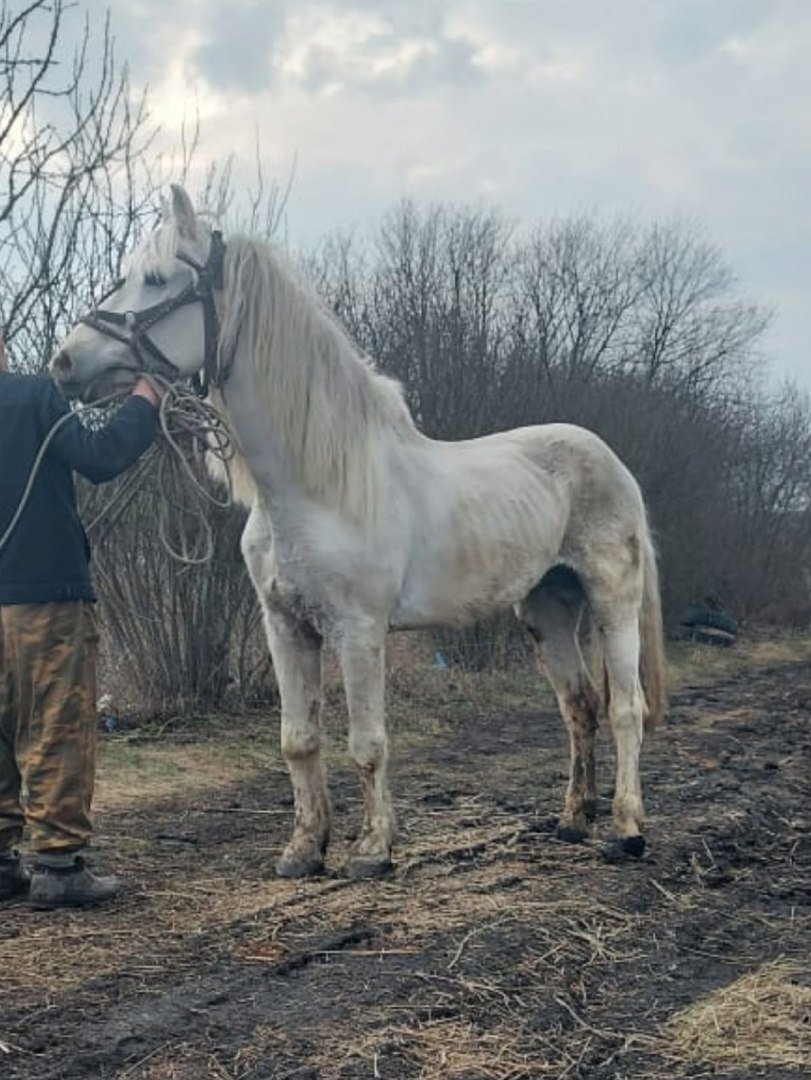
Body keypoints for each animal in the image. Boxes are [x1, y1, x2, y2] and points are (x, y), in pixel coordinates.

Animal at [55, 183, 665, 876]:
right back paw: (571, 821)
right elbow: (298, 740)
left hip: (612, 601)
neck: (312, 490)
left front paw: (373, 848)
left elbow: (367, 742)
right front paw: (303, 849)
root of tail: (610, 462)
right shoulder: (286, 628)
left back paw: (626, 828)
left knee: (625, 709)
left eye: (157, 279)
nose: (65, 362)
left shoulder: (358, 630)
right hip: (548, 607)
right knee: (578, 707)